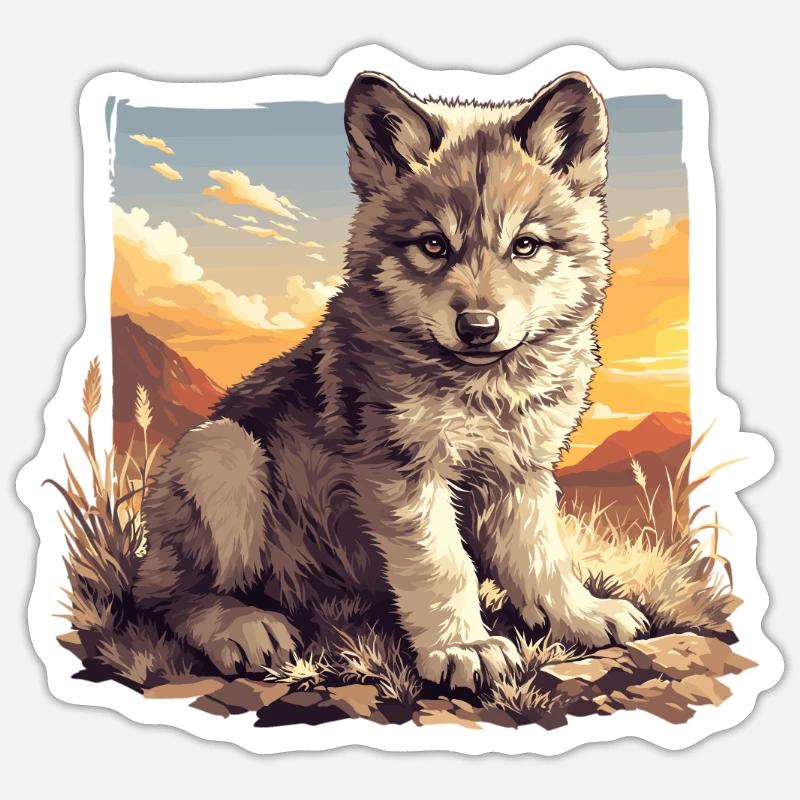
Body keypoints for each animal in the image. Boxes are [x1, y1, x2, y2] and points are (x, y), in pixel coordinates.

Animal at [132, 70, 649, 690]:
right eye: (434, 245)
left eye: (525, 245)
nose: (478, 327)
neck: (484, 391)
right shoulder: (405, 470)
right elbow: (444, 565)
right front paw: (463, 646)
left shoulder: (522, 472)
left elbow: (540, 556)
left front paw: (578, 615)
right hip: (223, 451)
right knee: (164, 597)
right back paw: (243, 626)